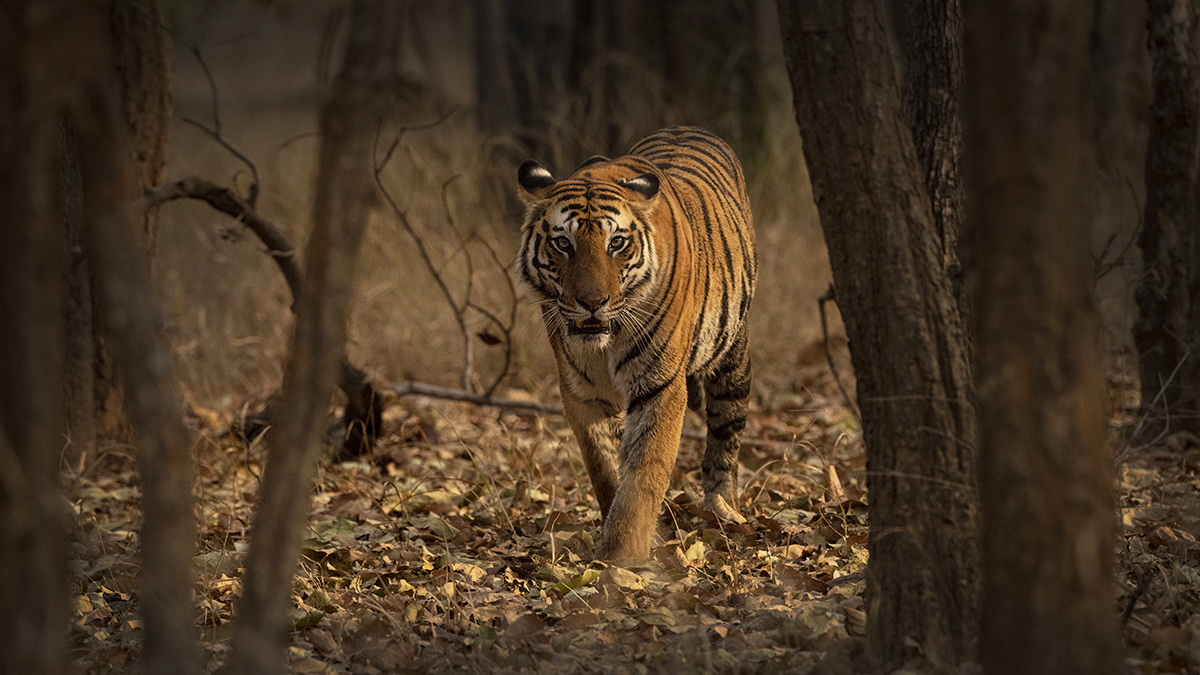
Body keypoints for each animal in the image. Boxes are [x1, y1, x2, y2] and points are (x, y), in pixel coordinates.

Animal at [516, 124, 758, 557]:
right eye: (563, 243)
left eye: (616, 243)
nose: (592, 302)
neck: (604, 343)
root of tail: (686, 126)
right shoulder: (582, 392)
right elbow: (605, 468)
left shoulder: (660, 385)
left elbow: (645, 471)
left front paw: (622, 556)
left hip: (733, 360)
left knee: (725, 440)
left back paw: (723, 509)